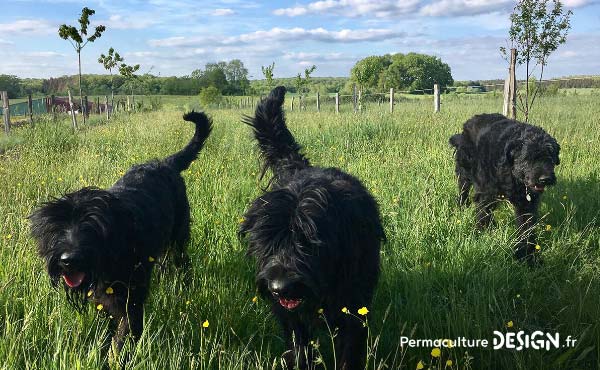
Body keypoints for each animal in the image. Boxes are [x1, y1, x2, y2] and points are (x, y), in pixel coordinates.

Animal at [31, 111, 213, 352]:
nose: (68, 260)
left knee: (182, 261)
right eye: (57, 228)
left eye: (92, 227)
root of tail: (167, 163)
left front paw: (118, 355)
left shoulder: (131, 300)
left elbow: (122, 336)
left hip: (179, 238)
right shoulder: (104, 298)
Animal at [239, 87, 384, 370]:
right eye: (266, 241)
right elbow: (299, 346)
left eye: (309, 241)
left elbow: (349, 349)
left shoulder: (354, 305)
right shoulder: (290, 317)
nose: (279, 287)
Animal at [452, 113, 560, 266]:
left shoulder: (526, 204)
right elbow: (482, 216)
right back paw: (462, 206)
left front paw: (527, 257)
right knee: (463, 191)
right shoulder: (485, 194)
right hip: (465, 173)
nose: (545, 179)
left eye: (550, 156)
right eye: (528, 158)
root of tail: (470, 121)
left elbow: (526, 229)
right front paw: (479, 236)